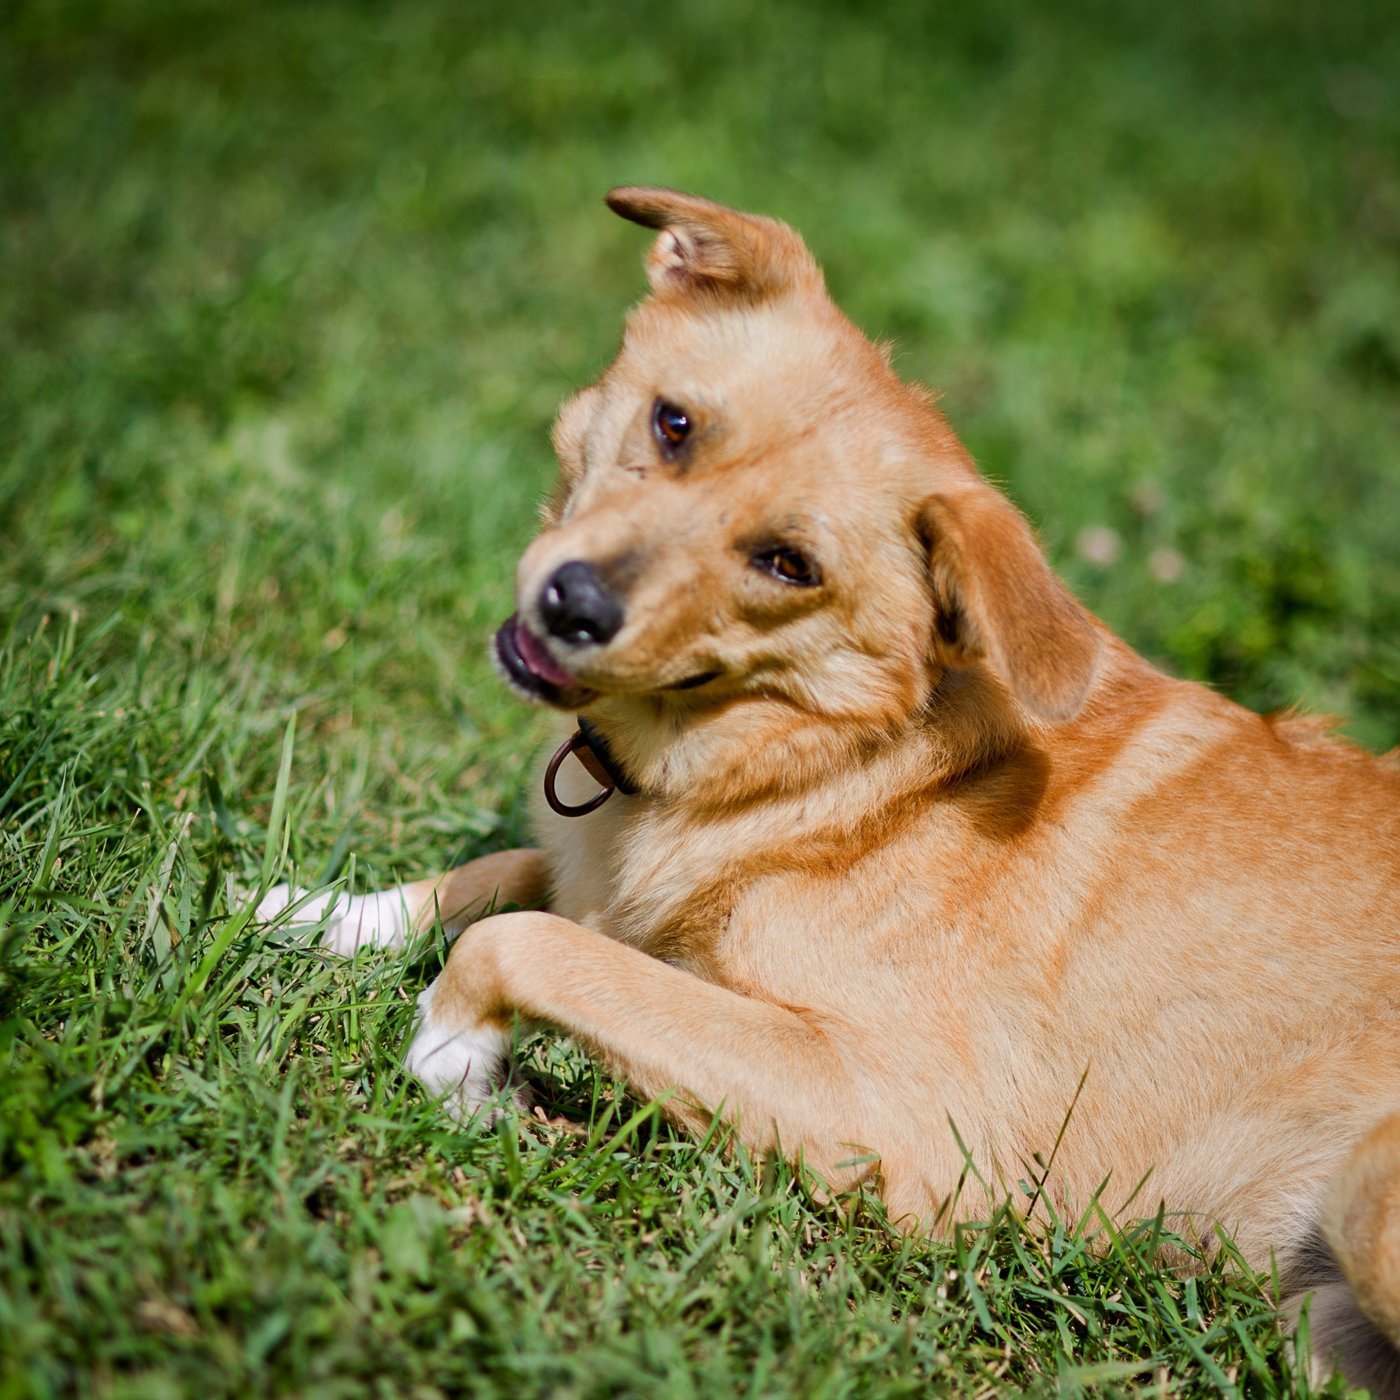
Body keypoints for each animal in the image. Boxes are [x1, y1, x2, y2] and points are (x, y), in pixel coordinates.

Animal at [257, 191, 1394, 1394]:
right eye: (673, 425)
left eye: (788, 564)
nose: (570, 604)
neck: (837, 770)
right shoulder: (598, 871)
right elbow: (508, 874)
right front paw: (324, 913)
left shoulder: (905, 1121)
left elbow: (531, 939)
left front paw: (455, 1056)